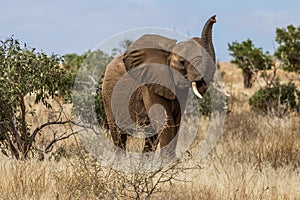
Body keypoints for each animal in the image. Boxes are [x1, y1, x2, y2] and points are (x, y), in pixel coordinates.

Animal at [101, 15, 225, 156]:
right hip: (108, 96)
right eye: (182, 62)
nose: (214, 18)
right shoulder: (149, 86)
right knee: (119, 135)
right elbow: (165, 121)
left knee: (151, 139)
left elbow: (176, 122)